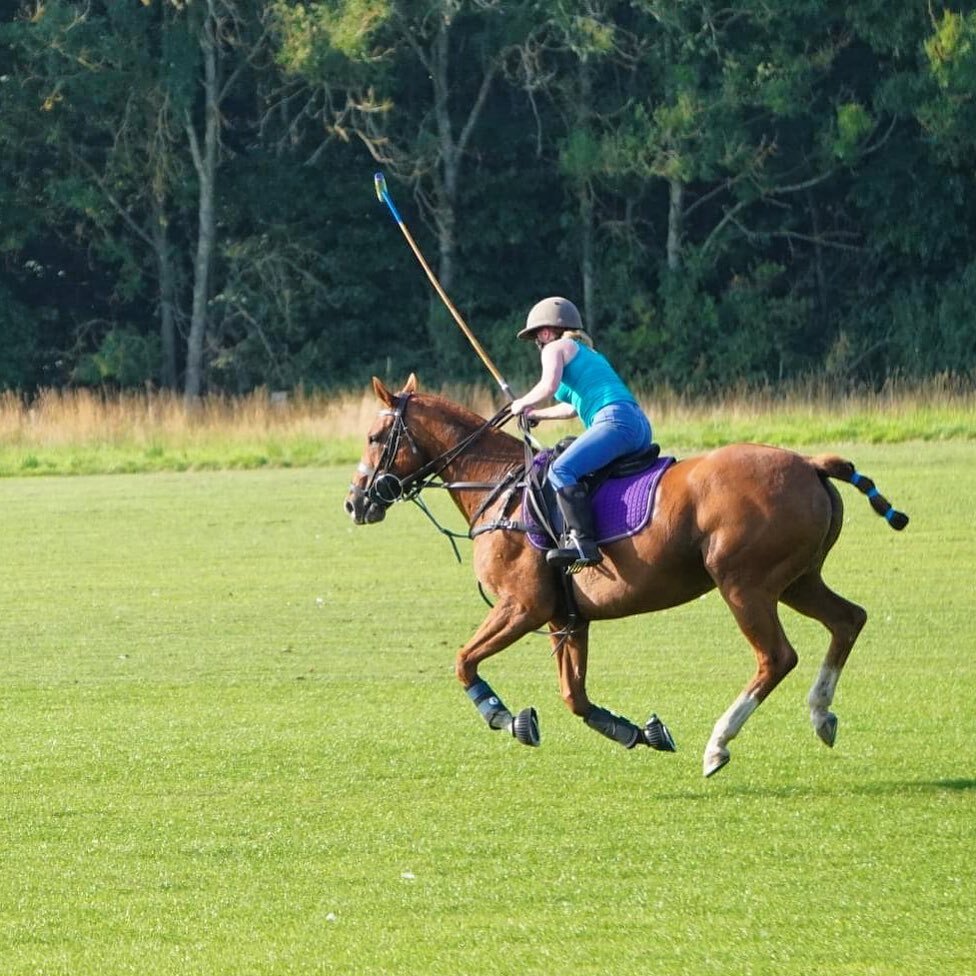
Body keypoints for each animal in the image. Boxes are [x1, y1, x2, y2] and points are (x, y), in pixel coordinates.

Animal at [342, 376, 908, 776]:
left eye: (374, 436)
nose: (355, 502)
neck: (497, 487)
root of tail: (810, 463)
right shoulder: (566, 617)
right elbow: (574, 696)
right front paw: (638, 731)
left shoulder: (522, 605)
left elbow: (464, 661)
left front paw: (503, 715)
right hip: (796, 580)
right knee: (848, 619)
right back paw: (821, 715)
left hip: (744, 583)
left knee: (777, 657)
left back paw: (718, 745)